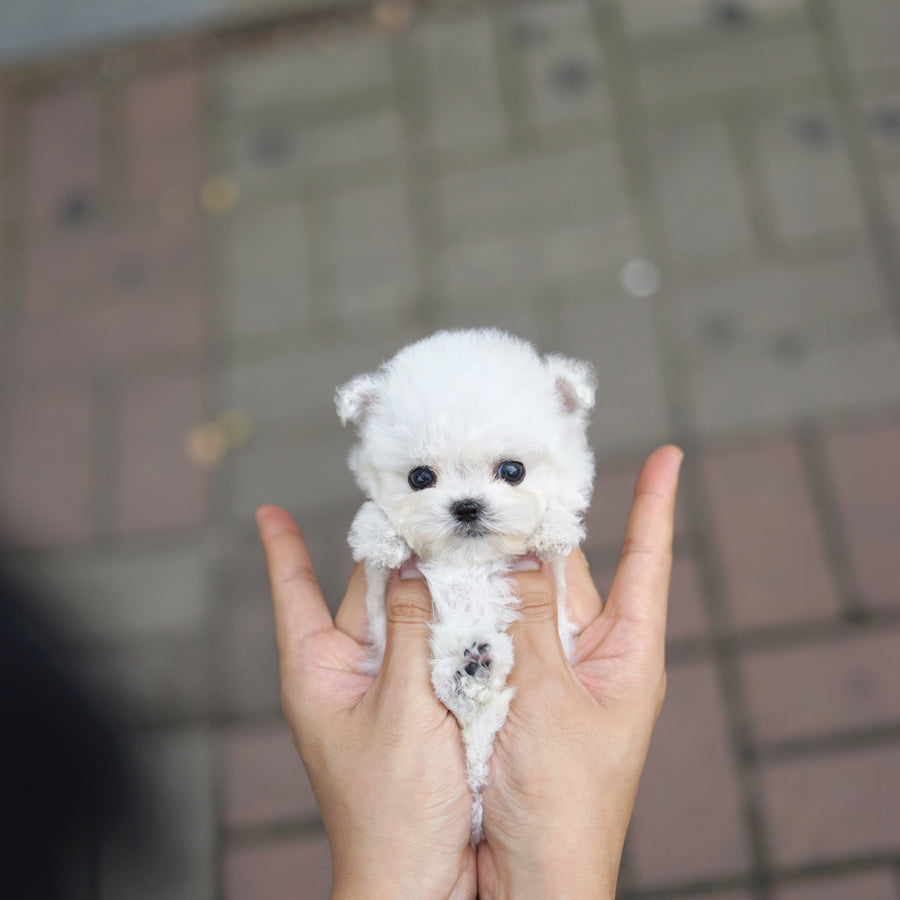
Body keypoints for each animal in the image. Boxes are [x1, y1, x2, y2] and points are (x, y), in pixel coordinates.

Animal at [334, 330, 596, 844]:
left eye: (513, 471)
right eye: (420, 477)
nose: (467, 506)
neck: (469, 563)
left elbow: (557, 529)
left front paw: (552, 527)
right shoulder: (377, 609)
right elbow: (378, 550)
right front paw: (383, 536)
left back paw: (474, 668)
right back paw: (467, 668)